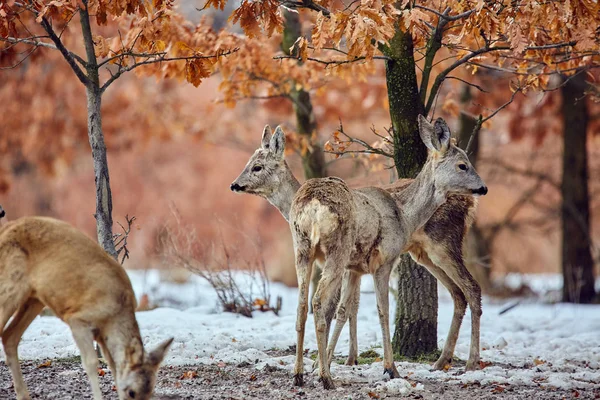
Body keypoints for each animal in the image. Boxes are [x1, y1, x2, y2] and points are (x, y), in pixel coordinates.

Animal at [0, 216, 173, 400]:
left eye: (150, 392)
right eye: (131, 392)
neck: (114, 314)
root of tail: (6, 228)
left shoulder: (102, 335)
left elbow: (113, 365)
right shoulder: (78, 319)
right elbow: (91, 362)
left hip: (35, 298)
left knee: (9, 336)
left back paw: (23, 395)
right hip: (10, 284)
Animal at [230, 117, 488, 390]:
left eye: (257, 166)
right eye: (463, 165)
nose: (483, 187)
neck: (404, 214)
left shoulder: (356, 267)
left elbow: (347, 309)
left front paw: (329, 362)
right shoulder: (379, 261)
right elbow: (373, 310)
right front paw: (387, 368)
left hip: (313, 249)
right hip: (404, 251)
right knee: (464, 290)